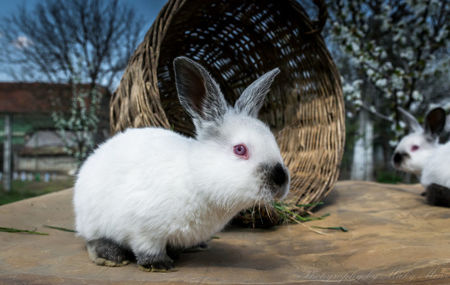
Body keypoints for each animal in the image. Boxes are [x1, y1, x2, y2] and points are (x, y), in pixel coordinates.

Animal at [72, 56, 290, 270]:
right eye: (240, 149)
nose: (281, 179)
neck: (195, 177)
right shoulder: (143, 229)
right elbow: (147, 248)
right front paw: (159, 264)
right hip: (94, 222)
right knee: (92, 241)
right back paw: (112, 257)